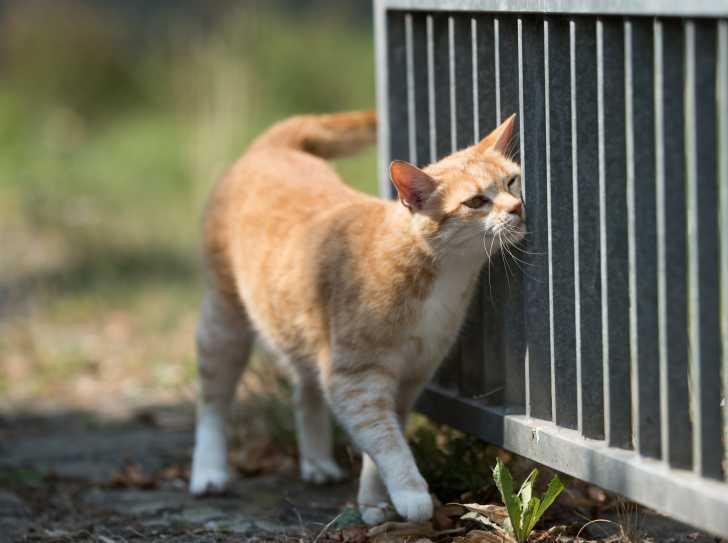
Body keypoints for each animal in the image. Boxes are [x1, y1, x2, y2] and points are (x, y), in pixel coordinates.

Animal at [189, 110, 524, 528]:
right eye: (476, 201)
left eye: (512, 181)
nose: (517, 208)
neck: (440, 275)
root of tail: (274, 145)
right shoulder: (355, 379)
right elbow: (386, 440)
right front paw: (411, 494)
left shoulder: (410, 377)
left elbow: (381, 442)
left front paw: (374, 501)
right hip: (225, 321)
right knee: (213, 401)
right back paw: (208, 472)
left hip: (304, 329)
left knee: (305, 388)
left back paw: (316, 461)